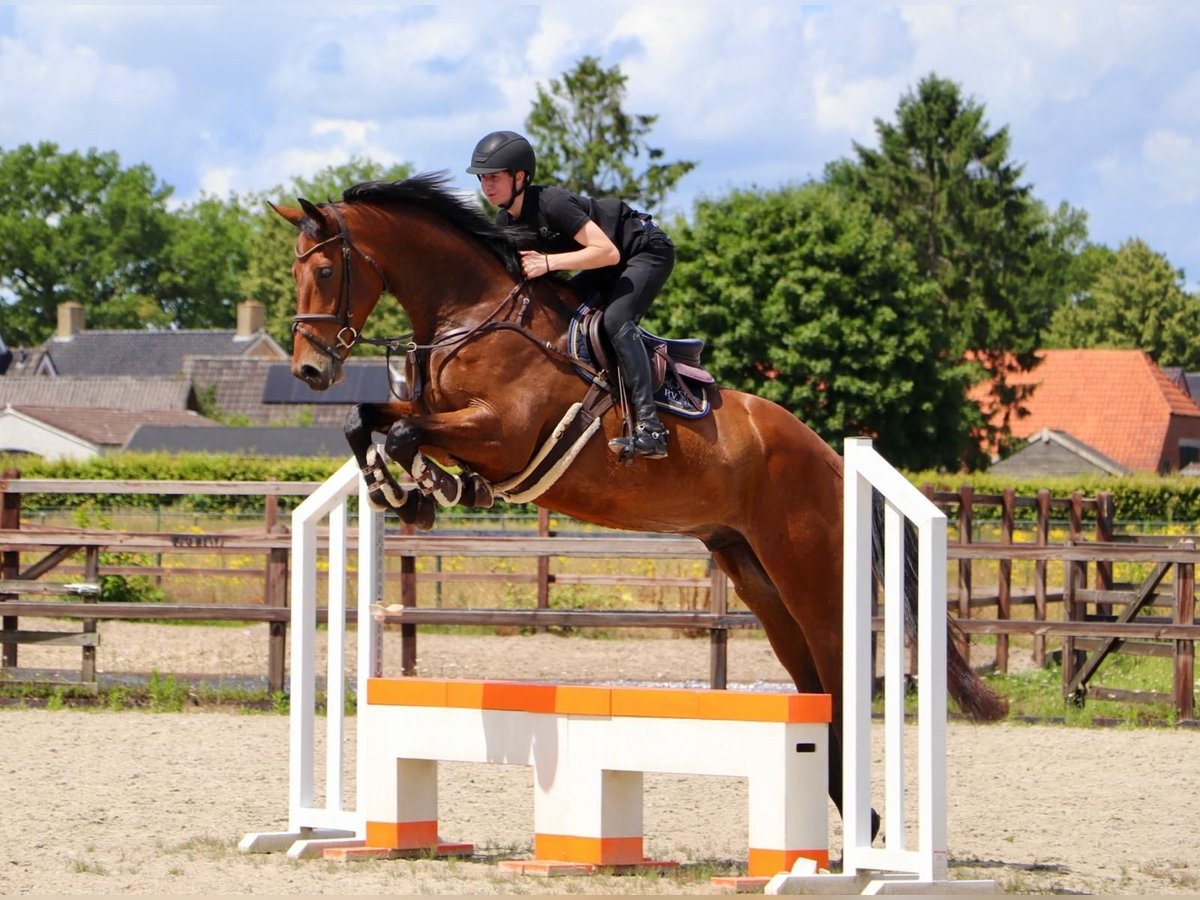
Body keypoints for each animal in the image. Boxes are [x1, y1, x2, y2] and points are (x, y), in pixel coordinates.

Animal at [273, 173, 1006, 836]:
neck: (472, 315)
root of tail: (828, 456)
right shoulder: (443, 418)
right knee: (810, 682)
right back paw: (852, 811)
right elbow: (370, 421)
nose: (310, 370)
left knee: (840, 668)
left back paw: (863, 822)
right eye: (295, 269)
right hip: (754, 574)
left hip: (809, 574)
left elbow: (405, 432)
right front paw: (407, 492)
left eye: (327, 268)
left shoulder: (502, 432)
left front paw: (431, 489)